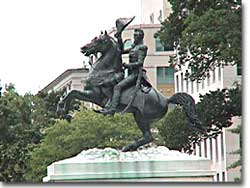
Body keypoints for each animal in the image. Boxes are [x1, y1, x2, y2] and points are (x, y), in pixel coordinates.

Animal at [57, 31, 203, 152]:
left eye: (99, 40)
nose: (83, 48)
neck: (104, 71)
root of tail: (166, 100)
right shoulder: (90, 95)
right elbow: (71, 94)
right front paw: (64, 113)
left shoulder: (95, 96)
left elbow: (72, 93)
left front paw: (64, 112)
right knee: (148, 136)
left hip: (141, 116)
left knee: (149, 137)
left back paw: (128, 146)